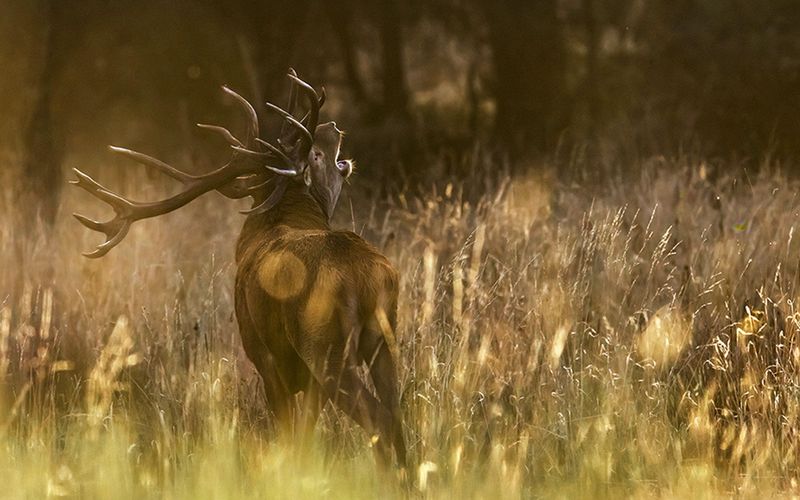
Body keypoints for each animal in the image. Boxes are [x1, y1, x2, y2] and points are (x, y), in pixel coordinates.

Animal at [70, 70, 406, 468]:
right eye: (316, 152)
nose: (334, 126)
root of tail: (369, 278)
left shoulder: (263, 354)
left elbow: (292, 436)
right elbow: (305, 435)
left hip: (326, 348)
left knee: (379, 420)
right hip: (384, 340)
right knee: (397, 416)